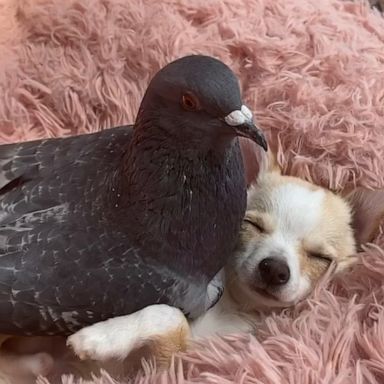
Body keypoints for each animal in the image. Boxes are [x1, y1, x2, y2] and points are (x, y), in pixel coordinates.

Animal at [0, 148, 384, 380]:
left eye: (321, 258)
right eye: (251, 224)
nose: (275, 268)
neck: (231, 307)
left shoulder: (169, 368)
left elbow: (170, 317)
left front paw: (101, 337)